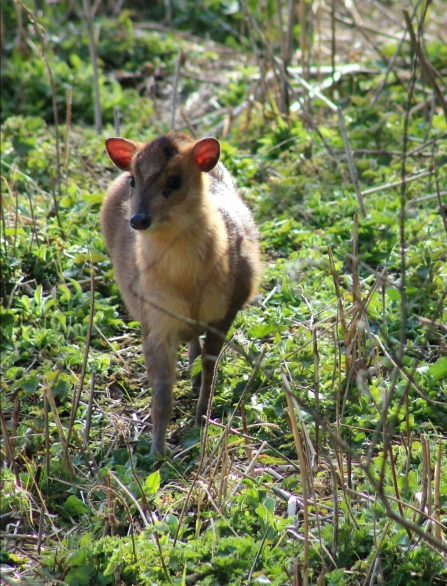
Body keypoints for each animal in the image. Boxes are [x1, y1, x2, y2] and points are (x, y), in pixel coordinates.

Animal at [100, 133, 262, 456]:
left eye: (175, 181)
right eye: (134, 179)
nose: (138, 220)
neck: (186, 284)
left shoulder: (225, 308)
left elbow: (211, 368)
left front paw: (201, 419)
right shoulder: (154, 319)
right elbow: (162, 394)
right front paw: (157, 450)